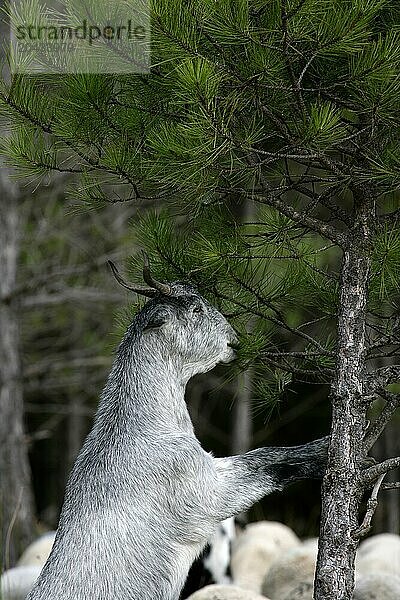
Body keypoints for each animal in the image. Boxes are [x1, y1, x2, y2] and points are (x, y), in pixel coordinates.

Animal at [26, 258, 330, 600]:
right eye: (196, 309)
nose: (234, 339)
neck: (143, 424)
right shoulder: (208, 491)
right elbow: (267, 458)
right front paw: (325, 448)